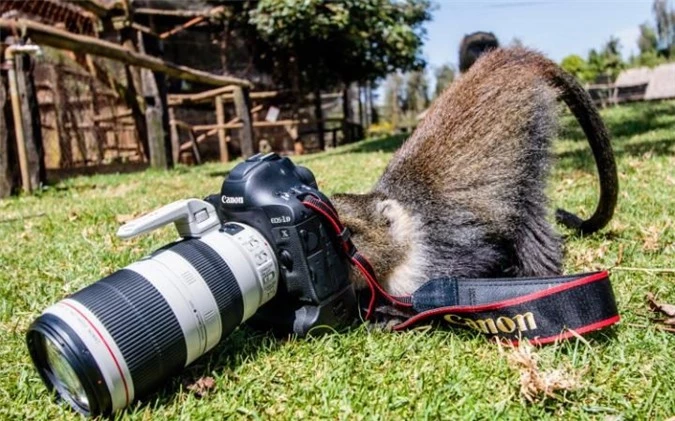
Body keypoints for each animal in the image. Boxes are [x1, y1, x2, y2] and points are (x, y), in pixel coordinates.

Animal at [330, 46, 620, 296]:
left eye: (348, 234)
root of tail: (506, 58)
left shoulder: (439, 257)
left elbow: (484, 260)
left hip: (530, 128)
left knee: (525, 208)